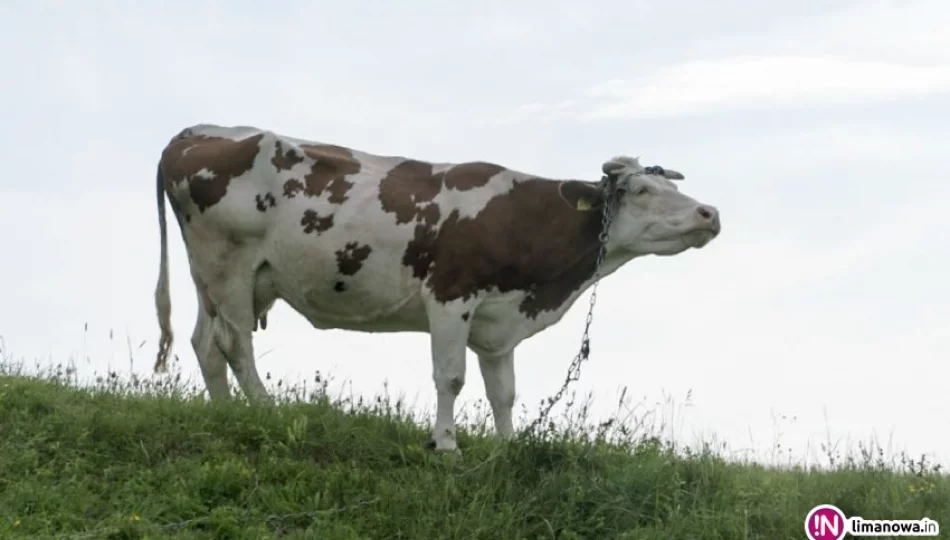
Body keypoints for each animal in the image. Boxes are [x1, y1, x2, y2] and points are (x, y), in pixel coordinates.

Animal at [154, 123, 720, 452]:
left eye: (672, 186)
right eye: (642, 190)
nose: (709, 213)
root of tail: (200, 131)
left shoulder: (499, 318)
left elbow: (503, 391)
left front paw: (508, 448)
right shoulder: (451, 296)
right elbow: (450, 377)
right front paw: (446, 445)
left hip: (216, 276)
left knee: (206, 343)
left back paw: (227, 412)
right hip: (227, 262)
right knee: (235, 342)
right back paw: (264, 410)